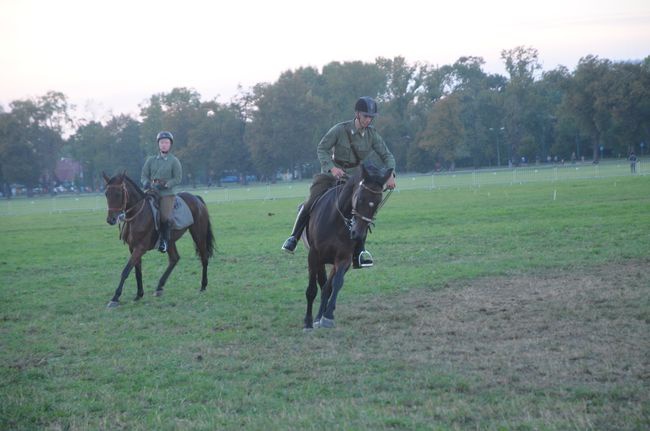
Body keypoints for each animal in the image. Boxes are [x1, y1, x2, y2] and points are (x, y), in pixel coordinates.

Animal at [100, 170, 214, 308]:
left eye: (118, 193)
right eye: (106, 194)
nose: (110, 219)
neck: (137, 215)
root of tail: (196, 198)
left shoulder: (140, 248)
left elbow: (126, 270)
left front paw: (115, 298)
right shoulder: (133, 248)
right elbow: (137, 270)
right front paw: (139, 294)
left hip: (198, 234)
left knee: (204, 257)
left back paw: (203, 285)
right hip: (170, 241)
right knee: (174, 259)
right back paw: (159, 286)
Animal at [302, 163, 392, 330]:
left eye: (377, 202)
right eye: (360, 198)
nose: (357, 234)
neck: (337, 220)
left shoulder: (344, 259)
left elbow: (336, 284)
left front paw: (328, 316)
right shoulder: (314, 256)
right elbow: (311, 289)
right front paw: (308, 322)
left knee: (327, 287)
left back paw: (321, 315)